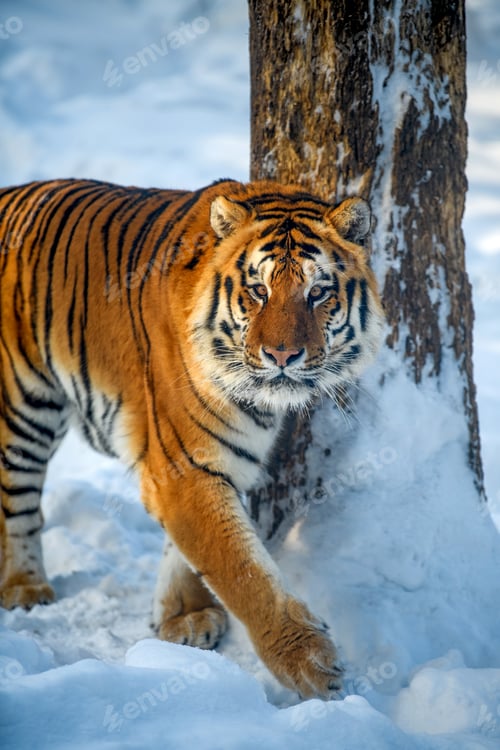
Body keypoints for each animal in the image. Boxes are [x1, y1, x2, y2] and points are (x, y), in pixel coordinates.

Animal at [0, 178, 383, 699]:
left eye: (318, 292)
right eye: (259, 290)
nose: (282, 355)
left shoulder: (217, 461)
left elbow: (190, 552)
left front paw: (185, 619)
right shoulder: (183, 466)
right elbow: (240, 568)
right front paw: (309, 663)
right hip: (22, 406)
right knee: (16, 500)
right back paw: (25, 590)